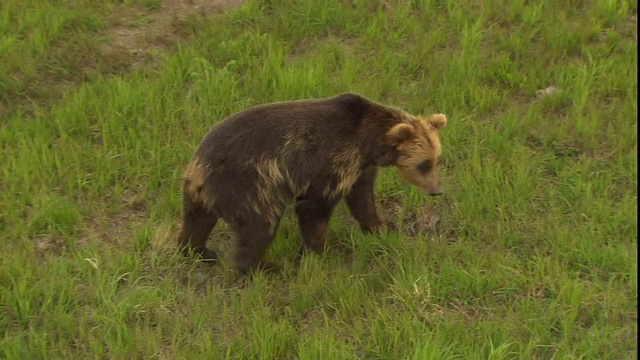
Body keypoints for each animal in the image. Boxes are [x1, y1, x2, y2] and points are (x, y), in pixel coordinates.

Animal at [178, 92, 448, 272]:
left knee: (197, 222)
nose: (437, 190)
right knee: (258, 225)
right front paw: (316, 252)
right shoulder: (329, 160)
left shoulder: (360, 168)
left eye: (437, 159)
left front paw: (382, 226)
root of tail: (197, 165)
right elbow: (315, 207)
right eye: (423, 164)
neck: (367, 142)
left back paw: (199, 251)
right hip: (250, 182)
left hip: (201, 193)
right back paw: (264, 268)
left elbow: (362, 199)